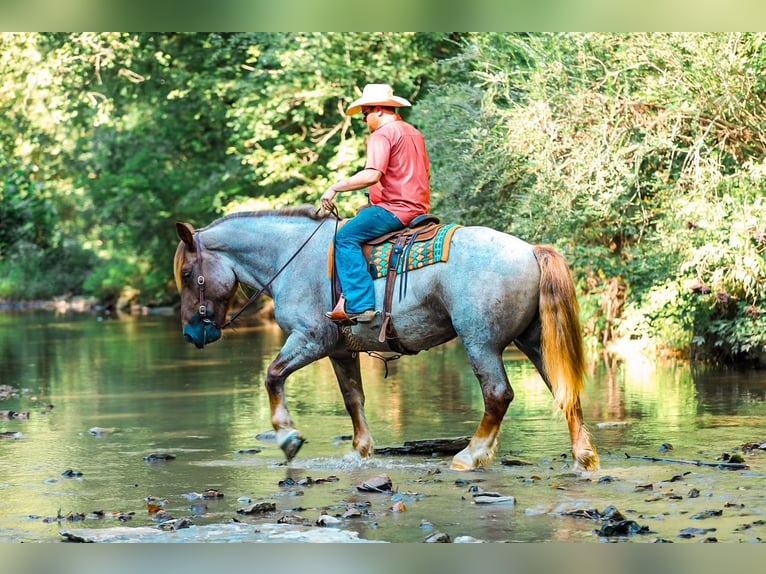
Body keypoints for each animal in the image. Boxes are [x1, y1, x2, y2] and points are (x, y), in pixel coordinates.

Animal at [173, 205, 599, 472]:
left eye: (188, 273)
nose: (191, 332)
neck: (291, 258)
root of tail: (530, 250)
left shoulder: (310, 339)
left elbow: (273, 375)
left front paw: (288, 437)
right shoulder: (340, 350)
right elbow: (353, 398)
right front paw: (359, 451)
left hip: (480, 342)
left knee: (497, 394)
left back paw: (470, 454)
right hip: (534, 341)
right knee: (565, 391)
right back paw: (584, 457)